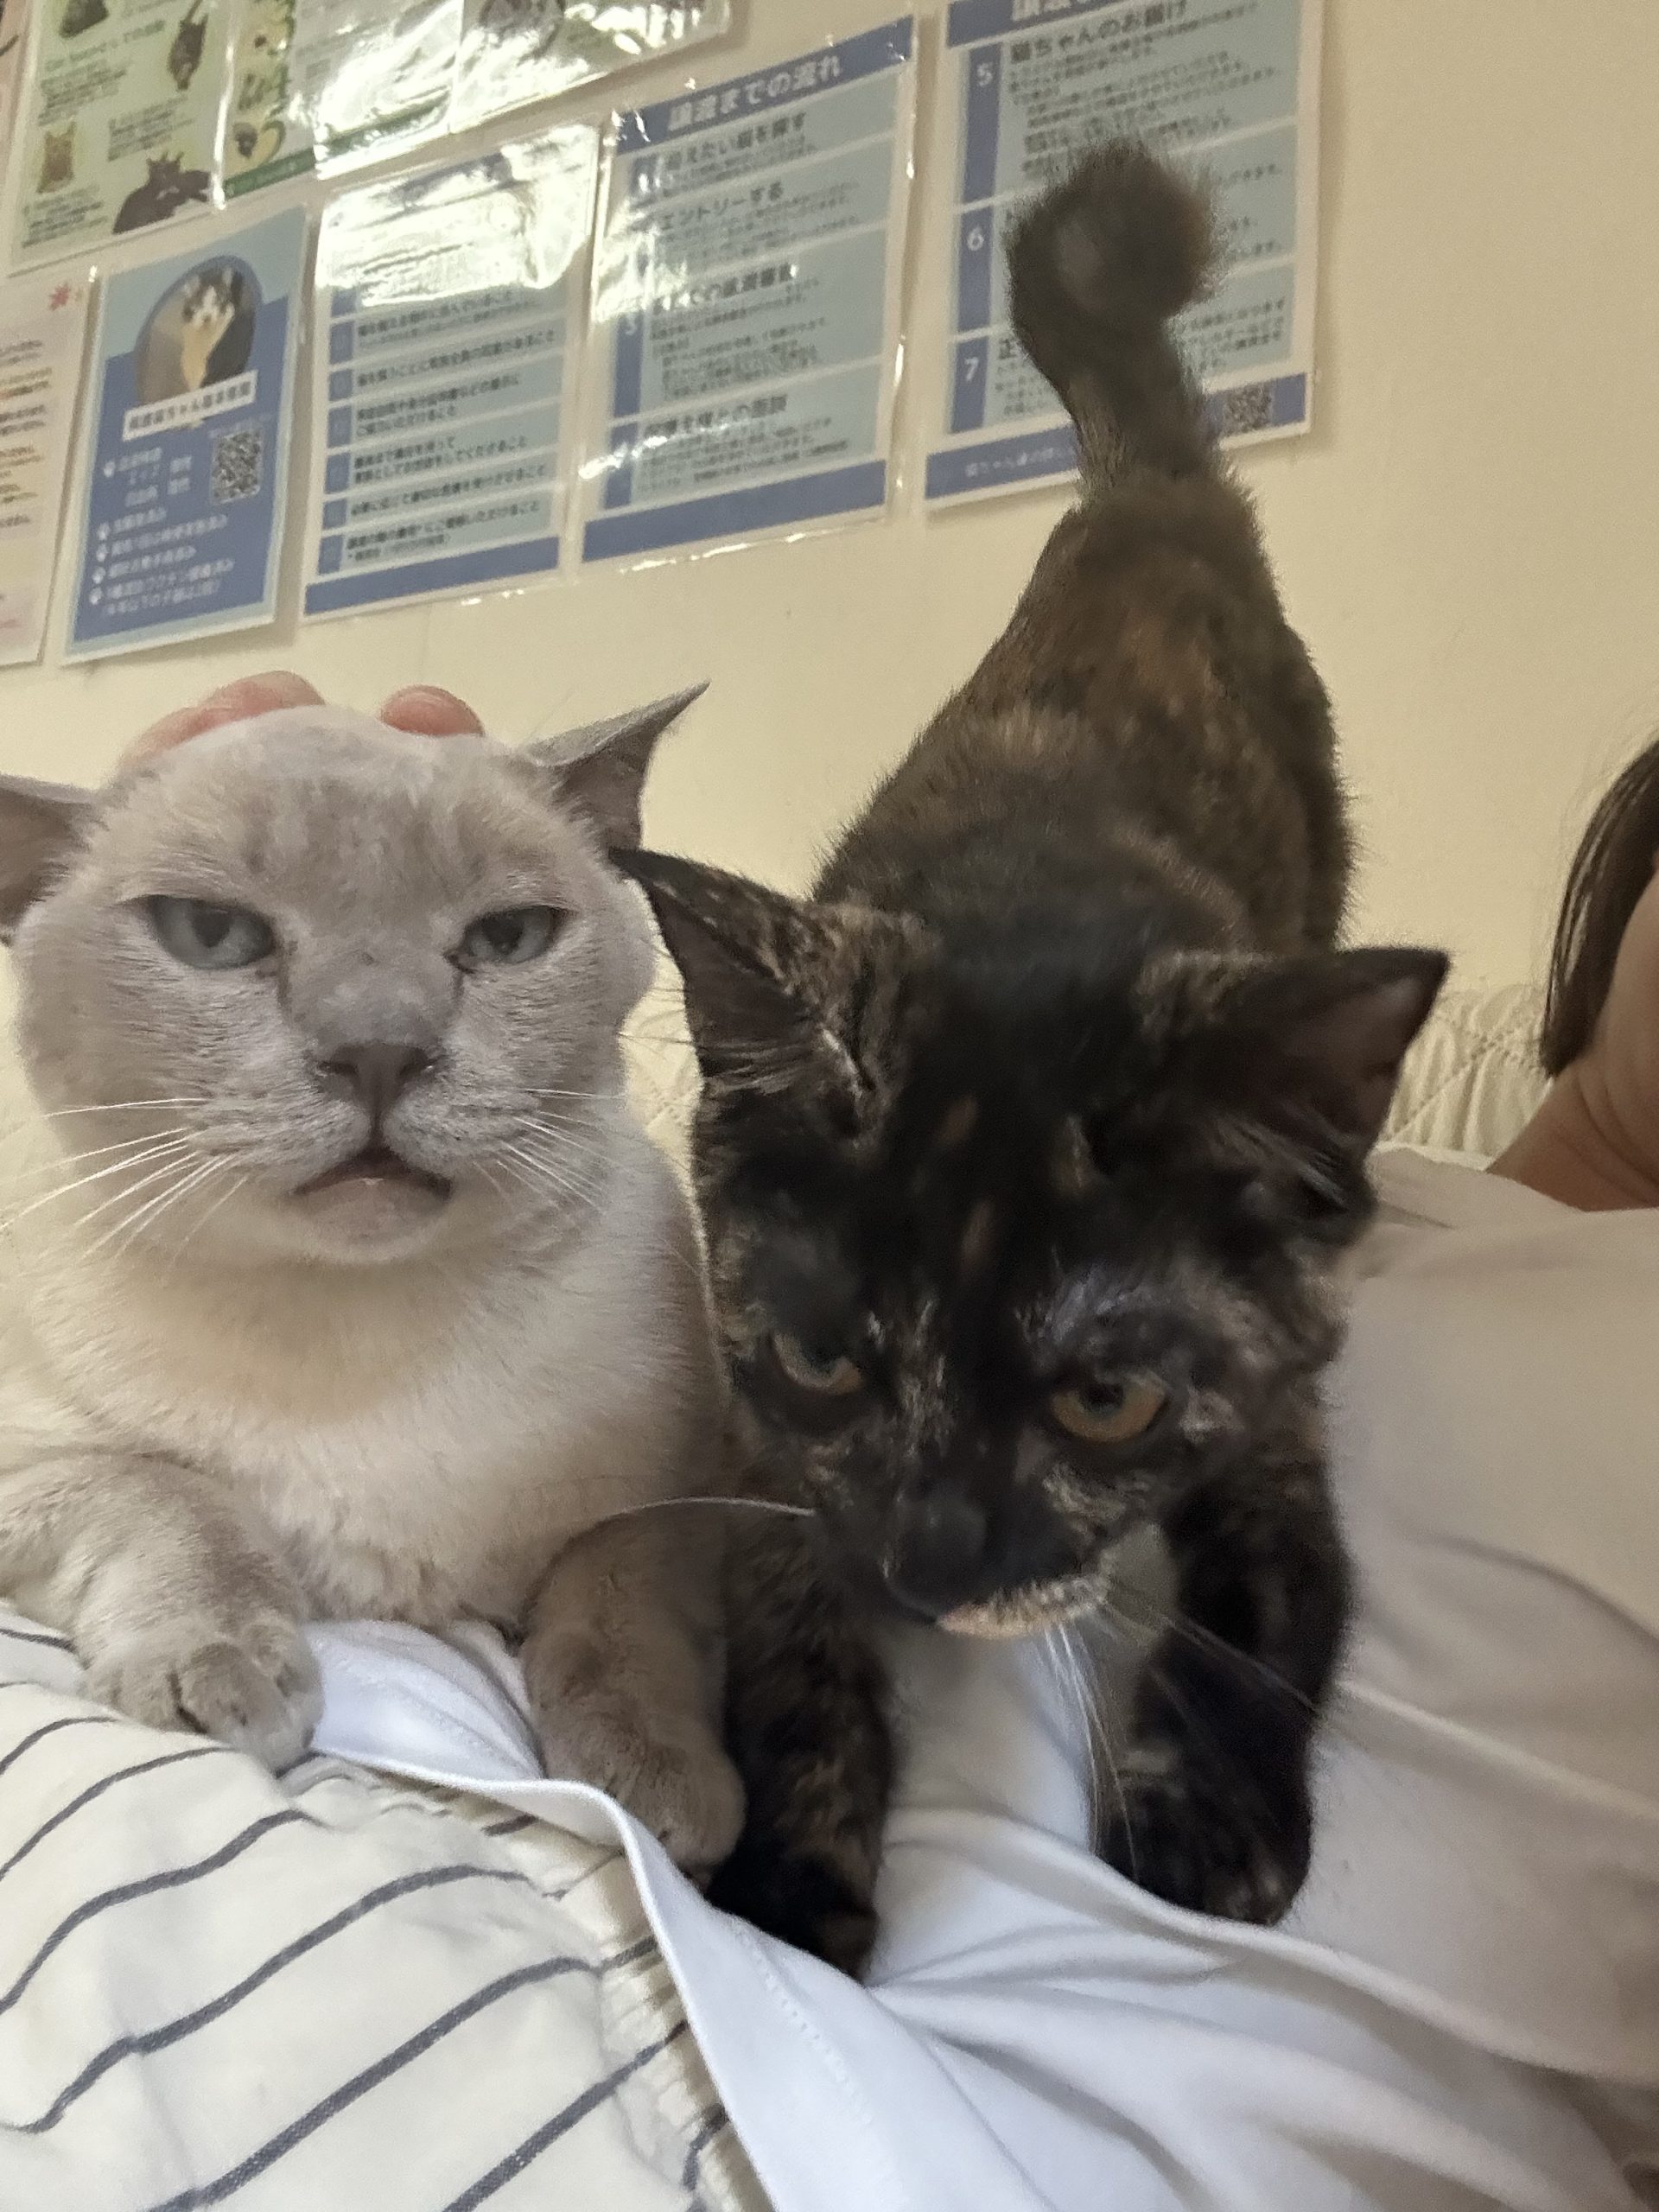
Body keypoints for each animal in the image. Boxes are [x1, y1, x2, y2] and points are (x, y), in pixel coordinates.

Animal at [0, 693, 743, 1876]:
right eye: (211, 935)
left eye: (506, 938)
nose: (380, 1051)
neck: (366, 1340)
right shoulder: (37, 1467)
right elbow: (177, 1500)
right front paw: (226, 1673)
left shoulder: (691, 1487)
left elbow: (614, 1601)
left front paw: (658, 1789)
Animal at [619, 144, 1447, 1972]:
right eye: (825, 1359)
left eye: (1109, 1398)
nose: (929, 1569)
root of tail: (1148, 492)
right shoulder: (771, 1454)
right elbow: (790, 1635)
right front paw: (795, 1883)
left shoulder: (1274, 1405)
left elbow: (1266, 1602)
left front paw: (1214, 1824)